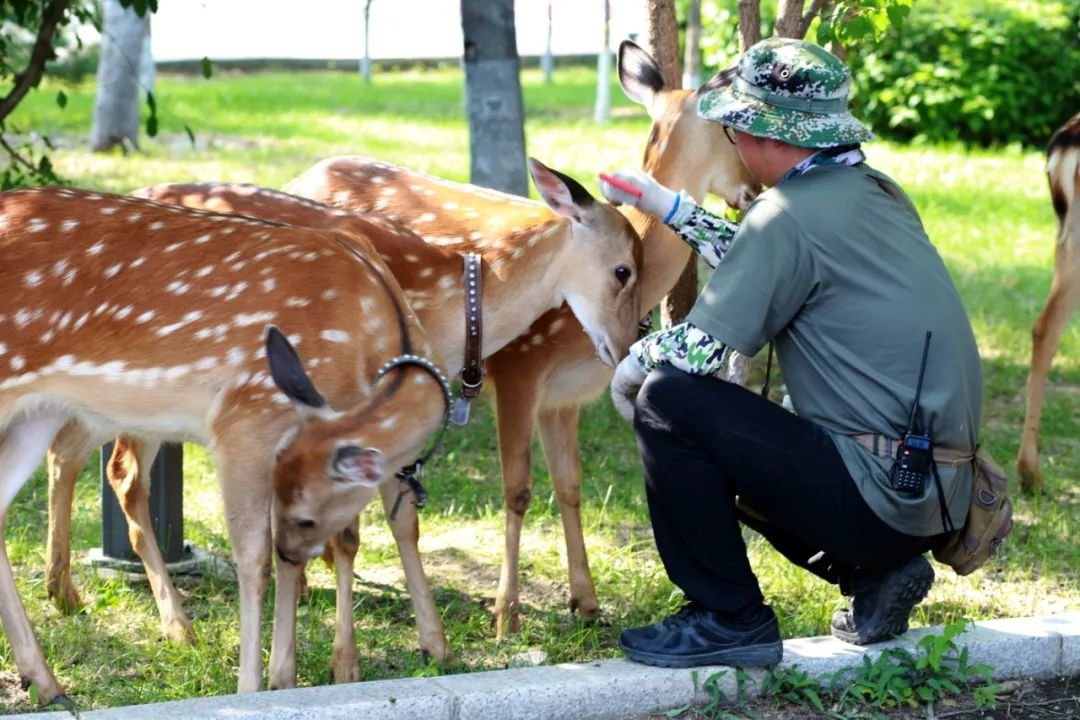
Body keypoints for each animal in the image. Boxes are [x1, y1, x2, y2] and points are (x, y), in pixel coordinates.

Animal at [0, 184, 457, 703]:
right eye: (306, 517)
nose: (295, 549)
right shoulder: (244, 419)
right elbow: (254, 558)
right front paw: (251, 687)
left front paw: (285, 679)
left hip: (39, 411)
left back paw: (47, 682)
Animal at [42, 160, 643, 686]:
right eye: (624, 269)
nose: (626, 347)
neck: (452, 314)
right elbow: (349, 533)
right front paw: (341, 663)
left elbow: (402, 520)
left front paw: (436, 643)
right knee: (121, 473)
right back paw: (176, 626)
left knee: (66, 449)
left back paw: (62, 591)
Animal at [287, 40, 760, 634]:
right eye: (729, 131)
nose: (753, 189)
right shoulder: (519, 368)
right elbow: (516, 490)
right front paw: (505, 612)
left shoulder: (566, 396)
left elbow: (570, 486)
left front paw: (586, 602)